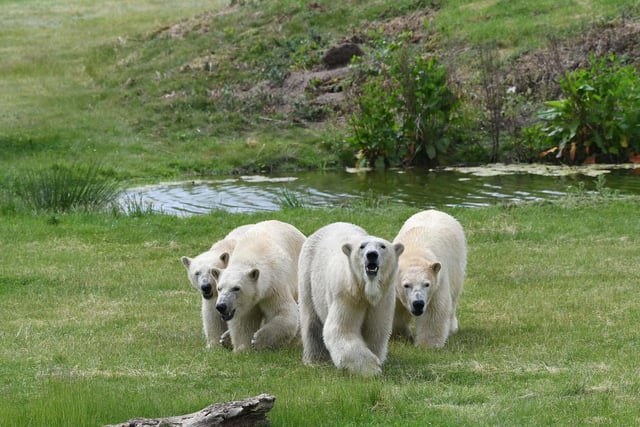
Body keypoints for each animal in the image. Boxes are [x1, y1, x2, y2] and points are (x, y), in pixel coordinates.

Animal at [212, 219, 304, 352]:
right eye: (219, 288)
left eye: (236, 288)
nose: (221, 306)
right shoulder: (246, 303)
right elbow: (244, 321)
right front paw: (242, 348)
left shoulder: (274, 286)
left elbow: (284, 313)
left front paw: (258, 340)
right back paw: (225, 338)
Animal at [300, 222, 404, 376]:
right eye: (362, 246)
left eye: (382, 246)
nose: (372, 255)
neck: (366, 291)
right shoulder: (346, 295)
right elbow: (342, 329)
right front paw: (371, 369)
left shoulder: (383, 299)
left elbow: (376, 330)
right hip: (308, 273)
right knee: (311, 320)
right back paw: (315, 360)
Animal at [392, 210, 468, 348]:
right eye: (406, 285)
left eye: (426, 284)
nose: (418, 303)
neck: (413, 252)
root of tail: (436, 211)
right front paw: (399, 335)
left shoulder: (437, 283)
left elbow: (434, 311)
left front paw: (427, 345)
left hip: (457, 261)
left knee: (454, 296)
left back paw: (452, 328)